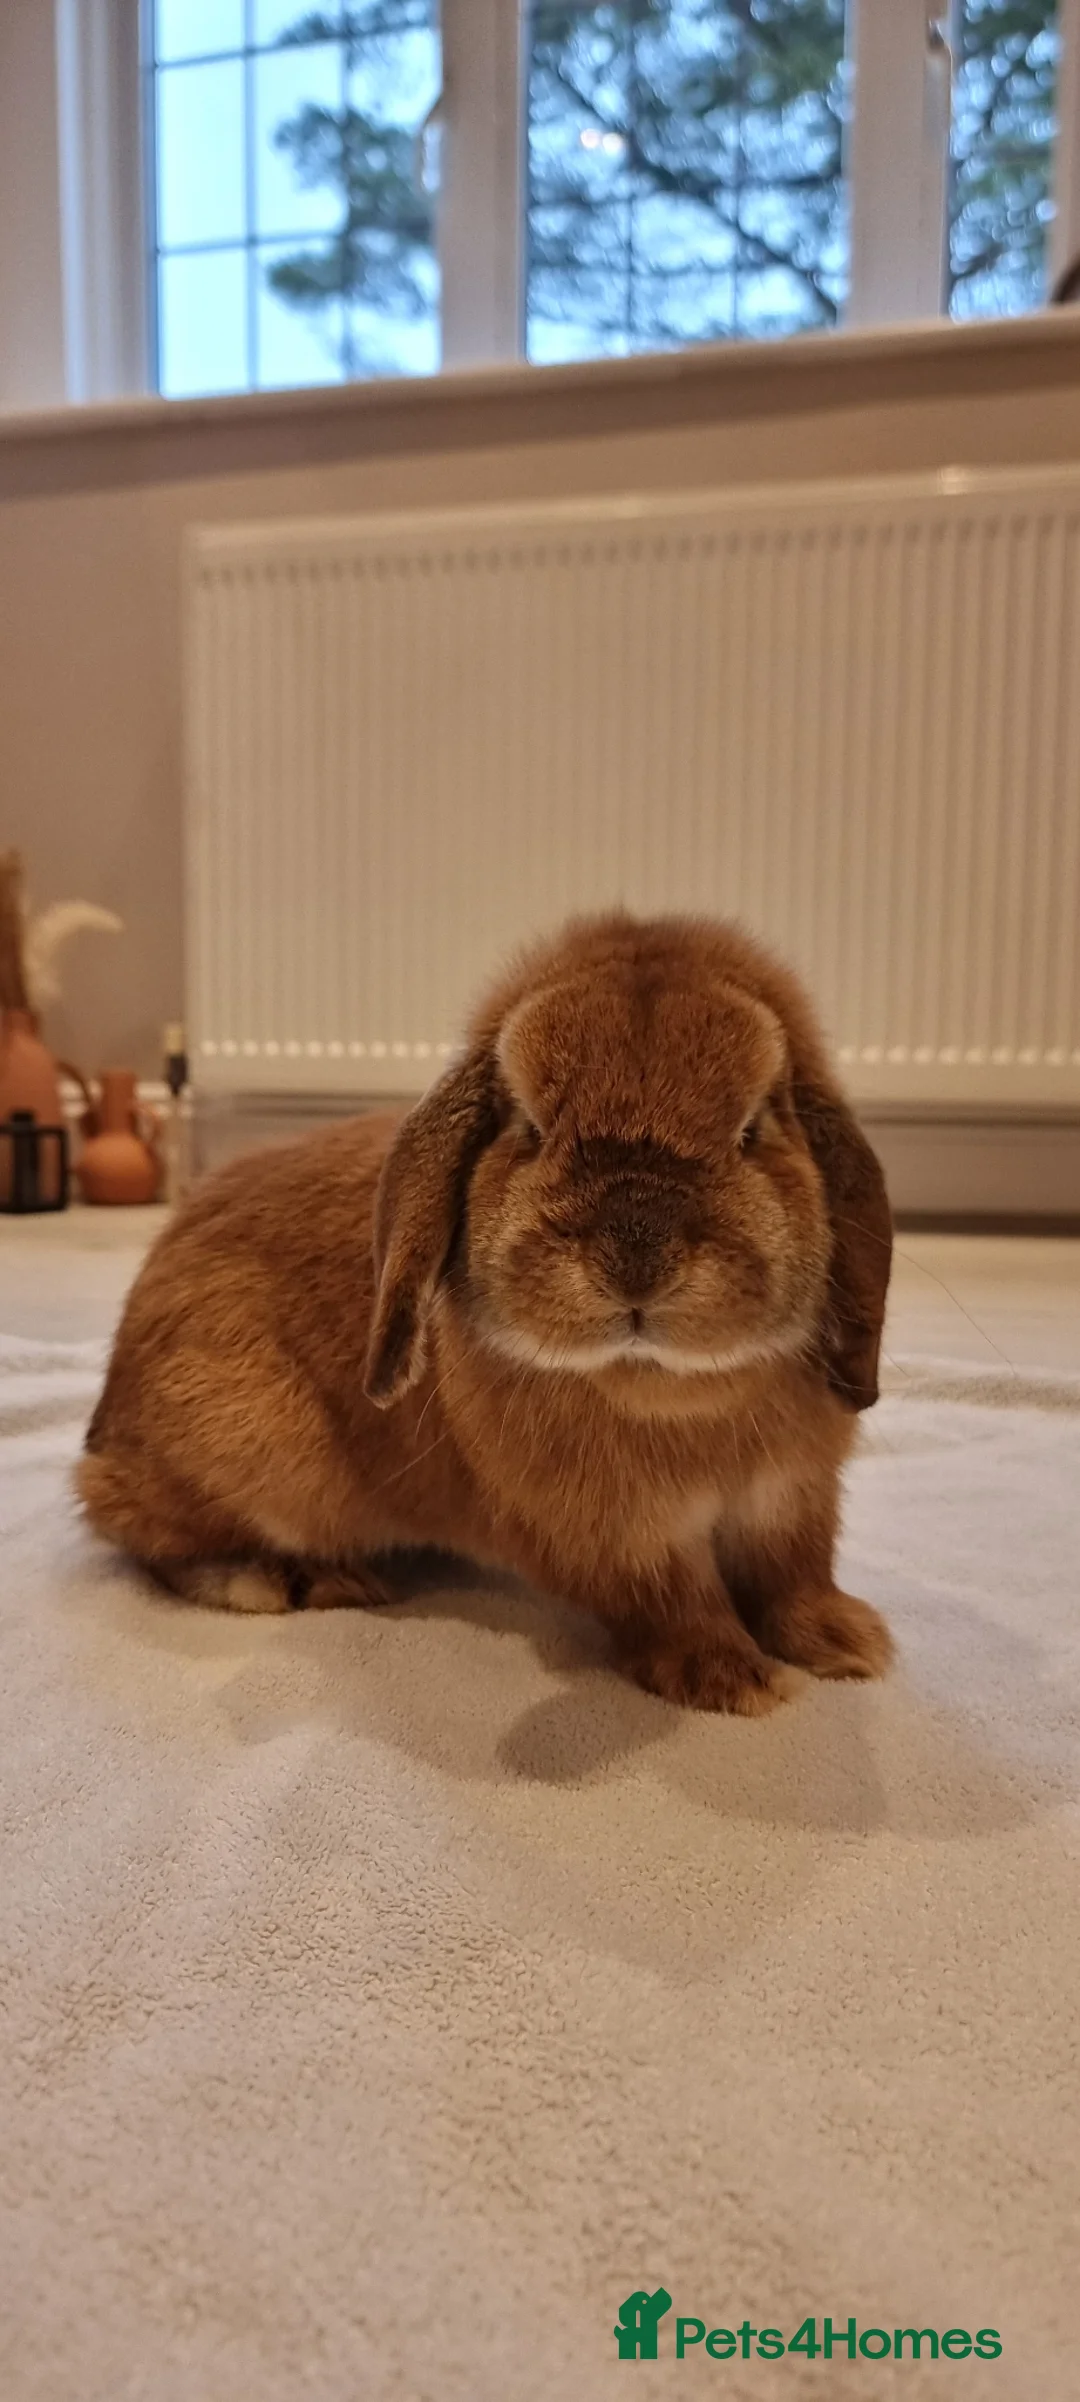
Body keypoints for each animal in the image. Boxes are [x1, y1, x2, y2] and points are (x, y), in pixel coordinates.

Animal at [78, 912, 894, 1716]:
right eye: (529, 1127)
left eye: (753, 1130)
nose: (636, 1257)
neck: (668, 1388)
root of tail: (105, 1426)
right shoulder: (616, 1536)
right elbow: (675, 1602)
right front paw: (732, 1679)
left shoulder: (792, 1500)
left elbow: (793, 1576)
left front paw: (848, 1643)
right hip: (249, 1458)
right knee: (140, 1534)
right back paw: (287, 1578)